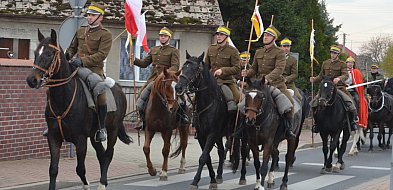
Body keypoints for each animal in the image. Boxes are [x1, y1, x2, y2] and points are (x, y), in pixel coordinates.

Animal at [24, 29, 132, 189]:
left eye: (49, 54)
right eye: (36, 52)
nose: (31, 80)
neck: (63, 99)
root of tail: (118, 88)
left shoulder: (80, 140)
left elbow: (80, 169)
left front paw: (86, 185)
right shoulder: (54, 138)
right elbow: (53, 169)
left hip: (112, 130)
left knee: (108, 154)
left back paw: (102, 183)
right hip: (94, 136)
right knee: (101, 155)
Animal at [175, 51, 227, 189]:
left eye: (195, 69)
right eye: (183, 67)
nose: (178, 87)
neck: (208, 102)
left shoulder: (211, 134)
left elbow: (203, 157)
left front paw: (195, 181)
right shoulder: (202, 135)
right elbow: (207, 157)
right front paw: (212, 179)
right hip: (219, 136)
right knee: (221, 152)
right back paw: (219, 175)